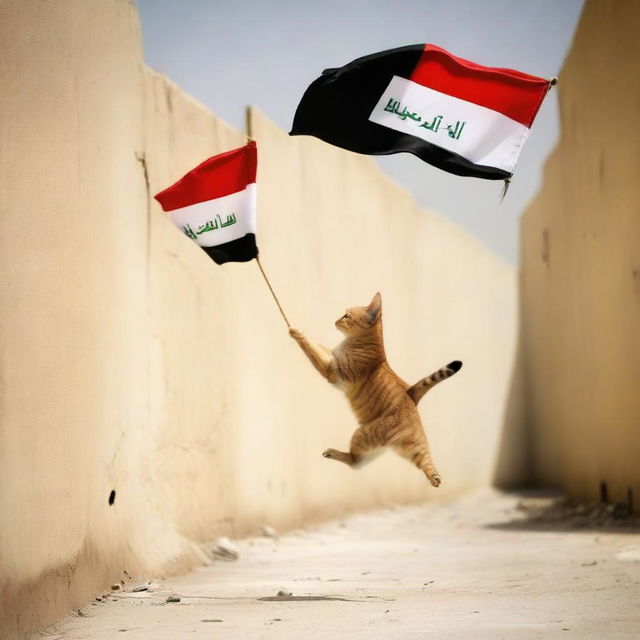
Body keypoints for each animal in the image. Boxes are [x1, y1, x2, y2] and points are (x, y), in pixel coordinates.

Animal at [288, 292, 460, 488]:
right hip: (413, 446)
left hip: (362, 435)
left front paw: (296, 333)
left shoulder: (332, 371)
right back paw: (435, 479)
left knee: (354, 461)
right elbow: (318, 347)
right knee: (423, 461)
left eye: (347, 315)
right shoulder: (332, 355)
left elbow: (311, 350)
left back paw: (331, 452)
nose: (336, 320)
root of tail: (409, 392)